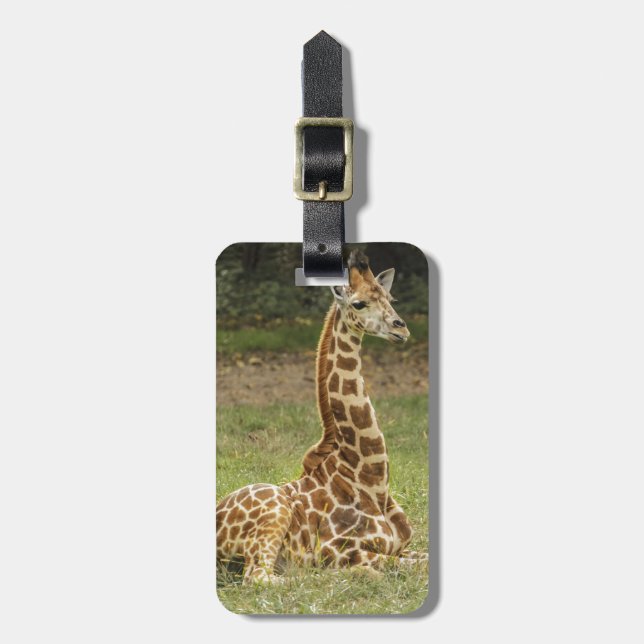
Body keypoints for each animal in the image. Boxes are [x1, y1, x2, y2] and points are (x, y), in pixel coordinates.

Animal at [216, 249, 427, 583]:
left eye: (389, 298)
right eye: (359, 304)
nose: (401, 328)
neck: (372, 479)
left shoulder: (402, 548)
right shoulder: (341, 550)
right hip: (274, 515)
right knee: (262, 577)